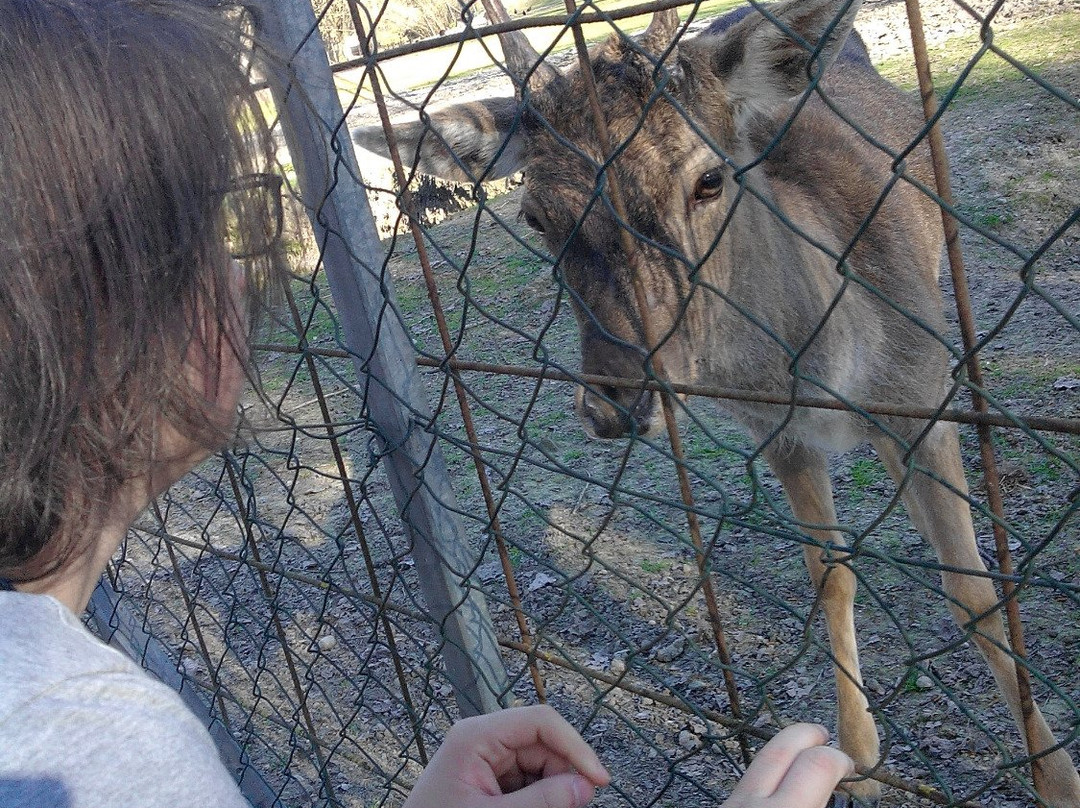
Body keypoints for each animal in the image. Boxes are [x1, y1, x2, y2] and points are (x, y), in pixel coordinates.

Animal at [349, 0, 1075, 803]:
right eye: (535, 215)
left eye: (707, 180)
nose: (615, 402)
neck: (826, 371)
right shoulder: (779, 434)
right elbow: (830, 576)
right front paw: (858, 759)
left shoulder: (920, 398)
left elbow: (975, 595)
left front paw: (1056, 779)